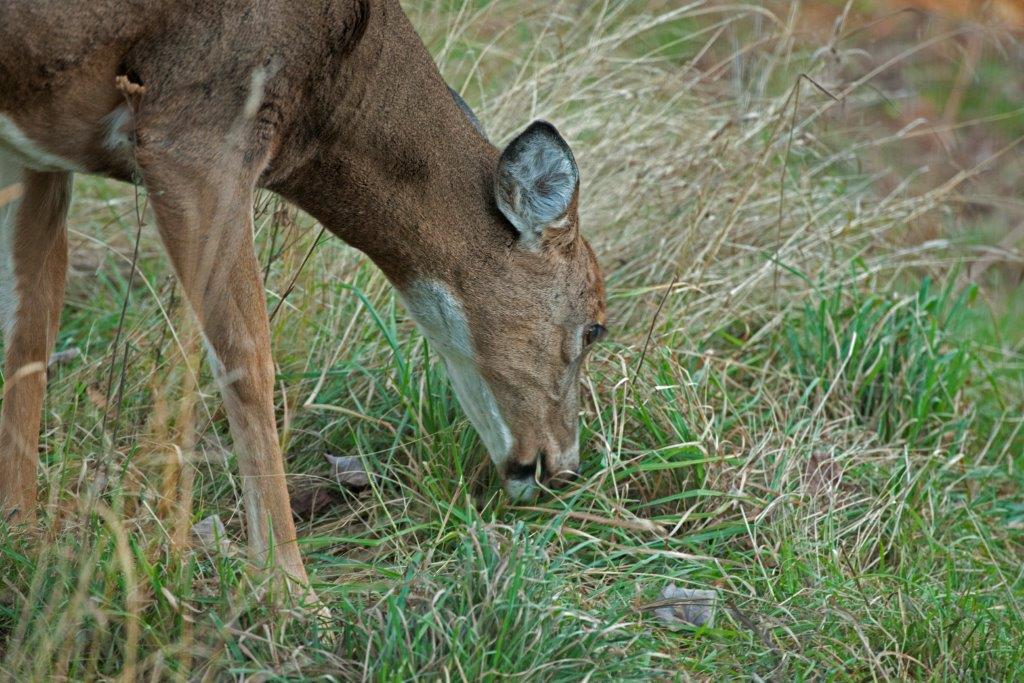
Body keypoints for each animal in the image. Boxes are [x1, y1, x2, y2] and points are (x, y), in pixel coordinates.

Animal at [0, 0, 607, 593]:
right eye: (594, 326)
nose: (562, 467)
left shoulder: (32, 154)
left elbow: (29, 329)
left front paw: (20, 530)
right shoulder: (197, 134)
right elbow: (248, 358)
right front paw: (290, 589)